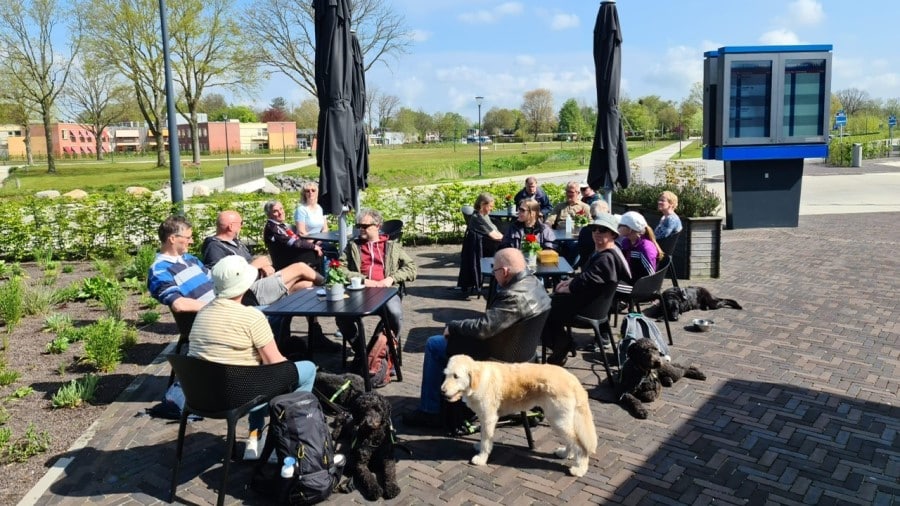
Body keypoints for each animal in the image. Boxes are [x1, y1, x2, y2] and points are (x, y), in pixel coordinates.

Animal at [442, 354, 596, 476]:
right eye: (446, 375)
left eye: (456, 376)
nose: (442, 391)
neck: (479, 381)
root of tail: (573, 379)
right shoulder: (484, 419)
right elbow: (483, 437)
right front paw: (480, 448)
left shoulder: (488, 418)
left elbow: (486, 441)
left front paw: (481, 458)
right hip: (559, 420)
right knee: (571, 441)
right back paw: (565, 454)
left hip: (558, 420)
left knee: (580, 446)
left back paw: (580, 469)